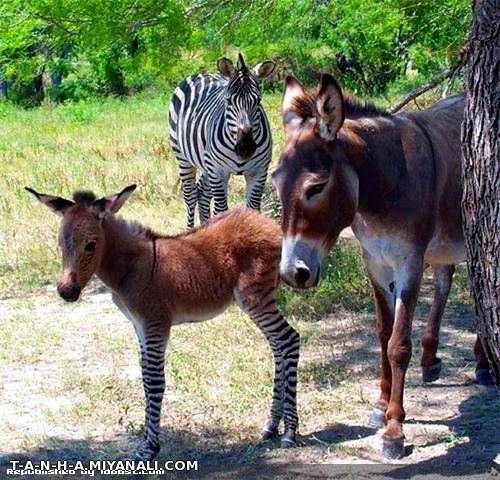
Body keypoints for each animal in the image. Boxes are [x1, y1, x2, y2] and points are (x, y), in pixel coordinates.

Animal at [27, 186, 298, 460]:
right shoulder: (139, 327)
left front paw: (149, 449)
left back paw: (290, 432)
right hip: (261, 300)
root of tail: (269, 224)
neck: (130, 269)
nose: (66, 292)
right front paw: (147, 442)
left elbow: (155, 382)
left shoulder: (155, 325)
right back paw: (272, 426)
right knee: (278, 347)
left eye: (91, 245)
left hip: (255, 298)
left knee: (289, 339)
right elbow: (145, 380)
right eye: (61, 245)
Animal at [170, 52, 276, 229]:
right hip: (183, 157)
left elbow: (253, 210)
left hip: (206, 163)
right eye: (228, 100)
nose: (245, 148)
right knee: (190, 196)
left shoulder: (259, 171)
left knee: (202, 192)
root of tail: (202, 73)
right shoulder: (218, 171)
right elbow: (221, 210)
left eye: (258, 101)